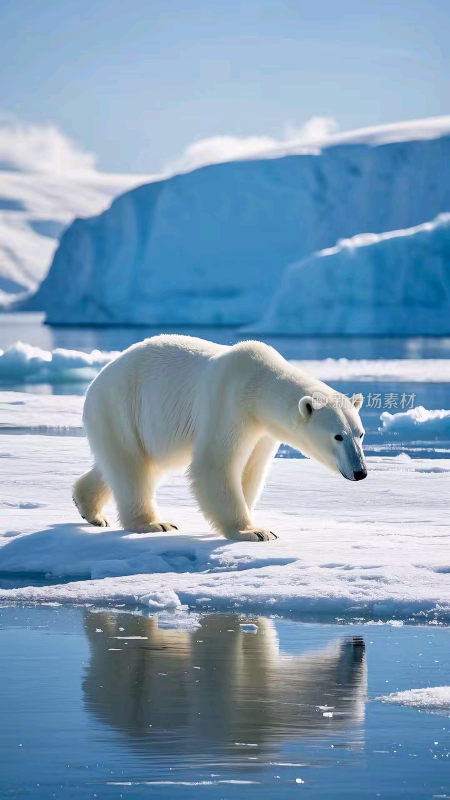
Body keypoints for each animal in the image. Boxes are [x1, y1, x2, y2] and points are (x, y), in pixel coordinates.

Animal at [73, 334, 366, 540]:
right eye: (338, 436)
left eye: (360, 434)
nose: (360, 472)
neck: (259, 383)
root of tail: (95, 382)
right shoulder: (230, 402)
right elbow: (215, 464)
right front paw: (253, 531)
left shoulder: (264, 430)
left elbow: (252, 469)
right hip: (121, 407)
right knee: (132, 467)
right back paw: (155, 523)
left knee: (127, 465)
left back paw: (89, 508)